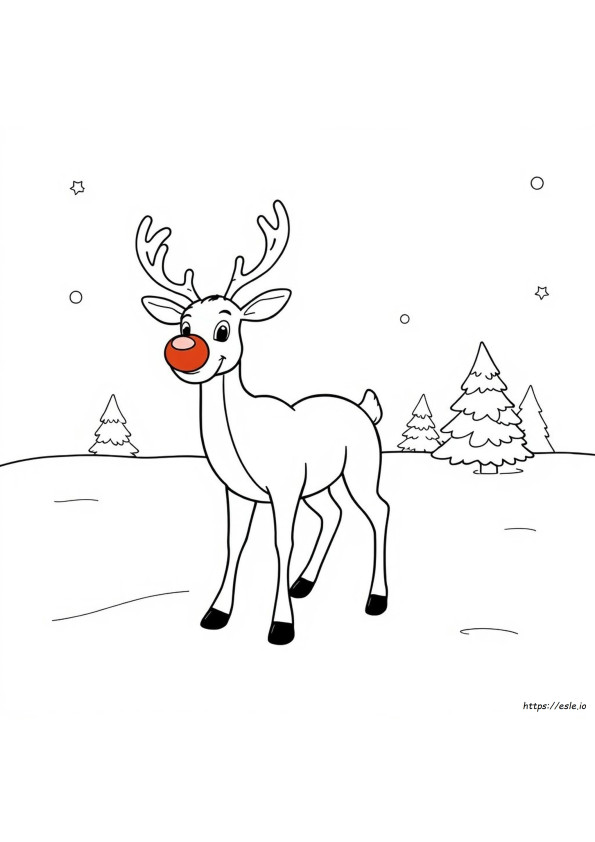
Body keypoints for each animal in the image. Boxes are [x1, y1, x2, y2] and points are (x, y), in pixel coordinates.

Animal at [136, 201, 389, 645]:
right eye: (184, 325)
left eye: (224, 328)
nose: (183, 350)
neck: (245, 440)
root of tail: (365, 408)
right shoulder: (239, 491)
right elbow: (234, 543)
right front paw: (216, 613)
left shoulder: (283, 488)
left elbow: (281, 543)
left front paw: (281, 626)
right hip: (321, 483)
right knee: (334, 514)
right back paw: (303, 583)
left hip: (362, 468)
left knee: (379, 511)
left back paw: (376, 599)